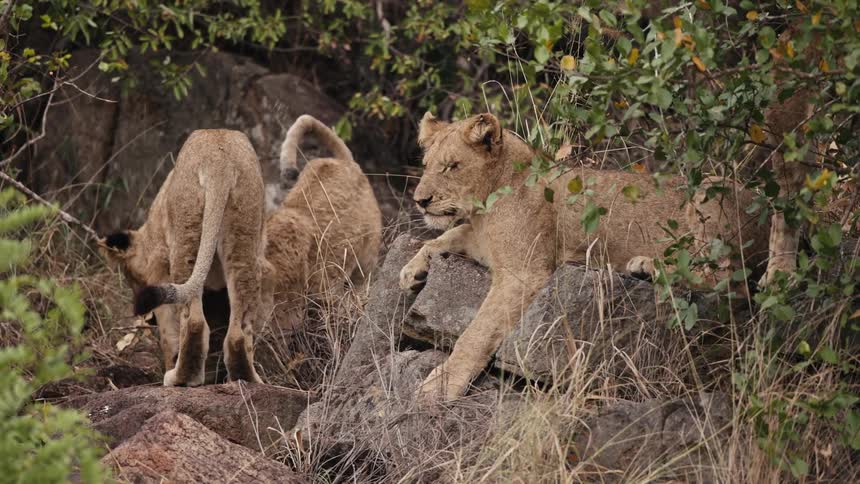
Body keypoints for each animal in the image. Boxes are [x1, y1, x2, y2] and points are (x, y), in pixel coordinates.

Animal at [99, 129, 267, 387]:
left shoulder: (159, 270)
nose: (148, 321)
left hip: (186, 231)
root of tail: (220, 161)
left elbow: (169, 332)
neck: (150, 233)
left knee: (193, 320)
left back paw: (179, 377)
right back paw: (246, 378)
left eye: (131, 279)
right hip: (244, 235)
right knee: (238, 329)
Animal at [401, 112, 770, 402]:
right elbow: (448, 235)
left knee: (730, 280)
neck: (483, 205)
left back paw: (646, 266)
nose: (421, 201)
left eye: (452, 166)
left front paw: (440, 386)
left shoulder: (525, 272)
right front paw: (412, 270)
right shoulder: (479, 242)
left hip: (711, 198)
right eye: (427, 166)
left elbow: (476, 333)